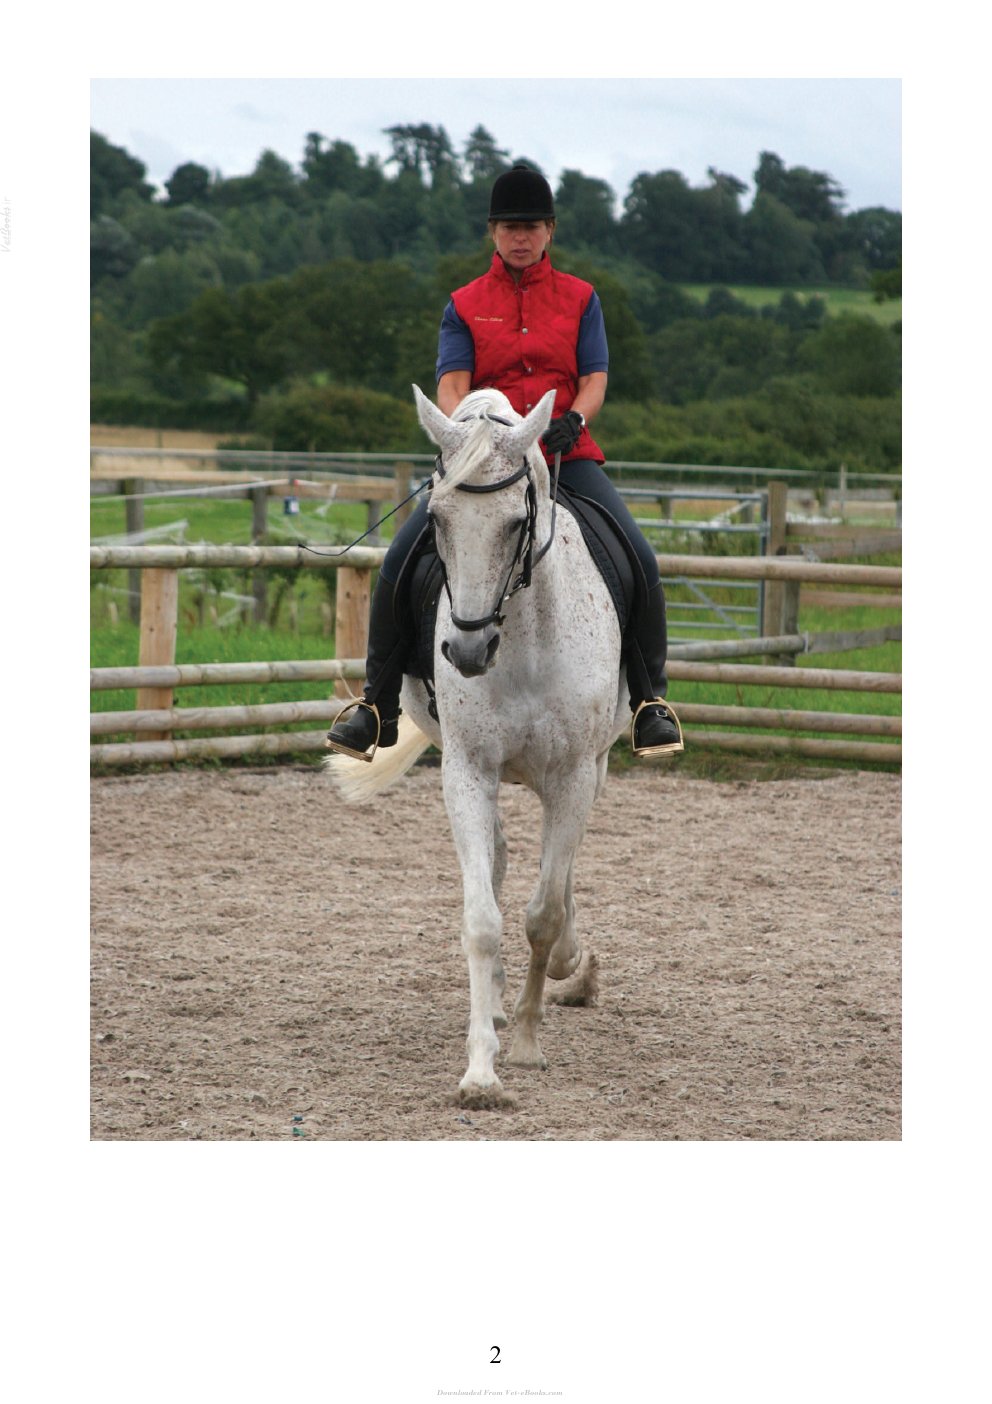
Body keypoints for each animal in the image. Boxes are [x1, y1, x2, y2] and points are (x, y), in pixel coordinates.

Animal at [326, 385, 631, 1105]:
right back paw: (496, 1004)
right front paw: (482, 1067)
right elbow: (484, 919)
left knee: (558, 876)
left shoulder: (574, 775)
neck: (521, 640)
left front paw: (526, 1042)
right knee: (497, 861)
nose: (466, 651)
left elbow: (543, 913)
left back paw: (571, 967)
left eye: (516, 523)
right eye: (436, 519)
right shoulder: (467, 769)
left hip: (596, 766)